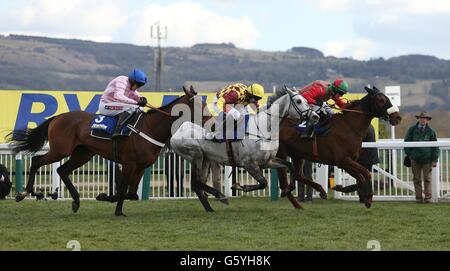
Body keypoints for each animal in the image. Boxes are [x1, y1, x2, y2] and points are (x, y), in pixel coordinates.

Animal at [7, 87, 223, 217]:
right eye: (198, 104)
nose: (213, 122)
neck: (150, 128)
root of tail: (57, 117)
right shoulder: (128, 164)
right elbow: (122, 190)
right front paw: (116, 208)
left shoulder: (141, 167)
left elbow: (132, 194)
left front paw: (107, 198)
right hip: (61, 150)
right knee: (37, 161)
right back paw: (24, 193)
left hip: (83, 153)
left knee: (62, 170)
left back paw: (76, 201)